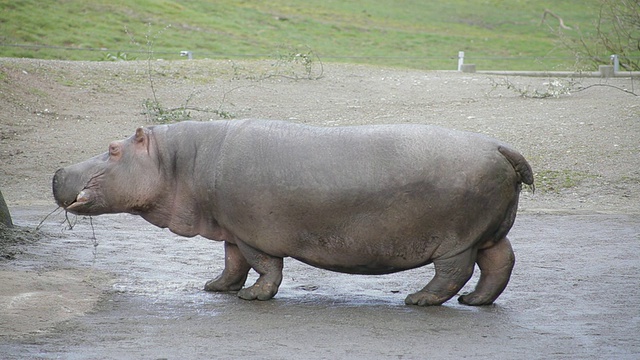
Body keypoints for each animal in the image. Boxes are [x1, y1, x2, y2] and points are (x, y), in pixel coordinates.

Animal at [51, 119, 536, 306]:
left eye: (113, 149)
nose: (57, 172)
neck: (177, 162)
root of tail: (501, 146)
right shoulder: (230, 227)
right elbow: (230, 262)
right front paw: (216, 288)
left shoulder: (252, 232)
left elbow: (264, 265)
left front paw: (251, 297)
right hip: (490, 232)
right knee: (500, 263)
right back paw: (476, 302)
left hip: (456, 238)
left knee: (454, 271)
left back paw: (419, 300)